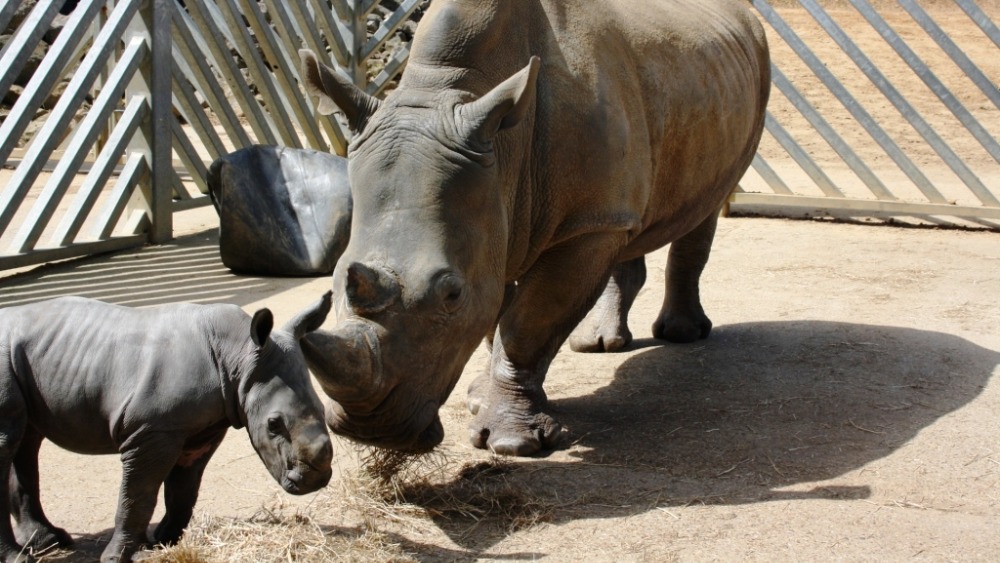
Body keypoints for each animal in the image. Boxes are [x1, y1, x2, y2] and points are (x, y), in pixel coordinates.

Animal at [0, 294, 336, 560]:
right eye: (274, 424)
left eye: (322, 409)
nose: (314, 481)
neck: (238, 357)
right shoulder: (151, 431)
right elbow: (138, 495)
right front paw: (121, 557)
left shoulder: (200, 428)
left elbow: (184, 489)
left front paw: (164, 542)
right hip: (4, 365)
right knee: (11, 441)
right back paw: (21, 556)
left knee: (26, 441)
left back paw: (49, 542)